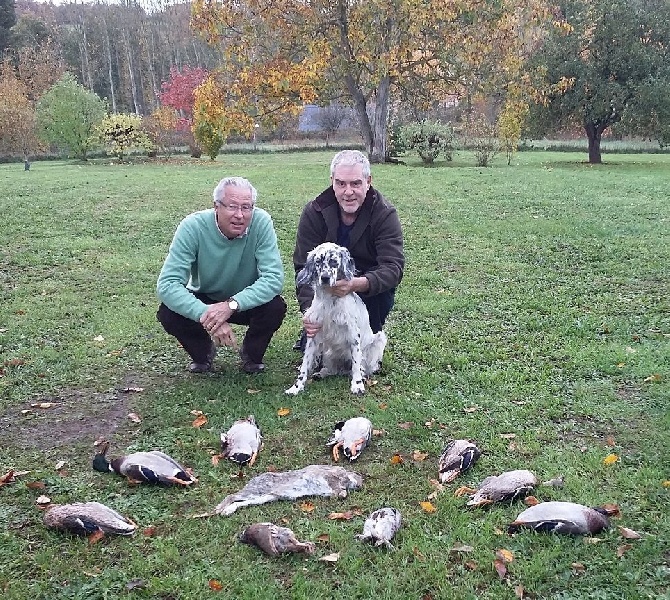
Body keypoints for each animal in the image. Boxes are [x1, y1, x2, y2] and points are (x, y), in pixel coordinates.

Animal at [284, 241, 388, 396]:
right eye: (318, 262)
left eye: (334, 261)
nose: (325, 278)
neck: (329, 299)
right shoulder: (313, 334)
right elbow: (304, 365)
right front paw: (296, 387)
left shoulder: (353, 335)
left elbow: (356, 364)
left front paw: (357, 385)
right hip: (328, 353)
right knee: (333, 370)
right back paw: (321, 373)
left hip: (379, 339)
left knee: (363, 367)